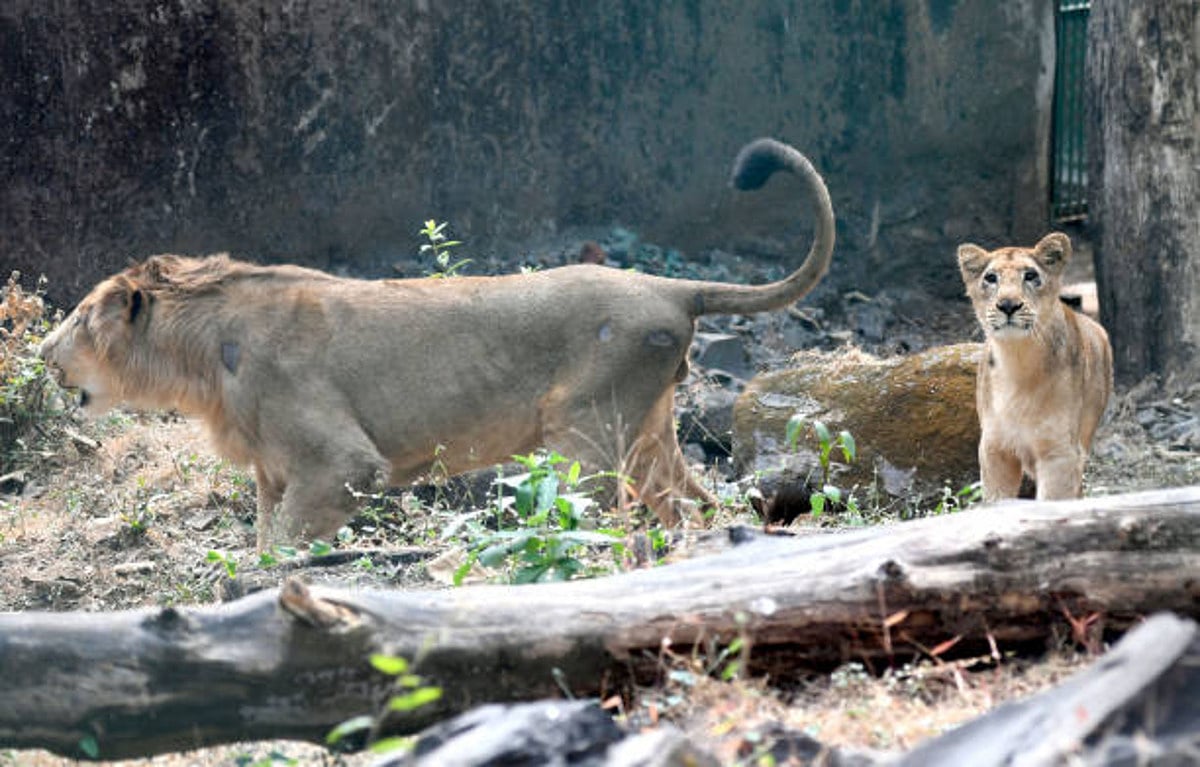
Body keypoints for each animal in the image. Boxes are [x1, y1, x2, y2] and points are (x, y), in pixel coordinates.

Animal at [39, 138, 835, 549]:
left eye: (77, 317)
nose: (42, 353)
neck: (202, 358)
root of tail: (673, 287)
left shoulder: (342, 463)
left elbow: (284, 551)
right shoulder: (273, 472)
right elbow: (264, 540)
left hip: (584, 433)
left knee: (609, 519)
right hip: (650, 436)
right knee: (698, 506)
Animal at [957, 232, 1113, 501]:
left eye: (1030, 275)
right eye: (990, 277)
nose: (1008, 305)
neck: (1018, 359)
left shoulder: (1060, 453)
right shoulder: (995, 449)